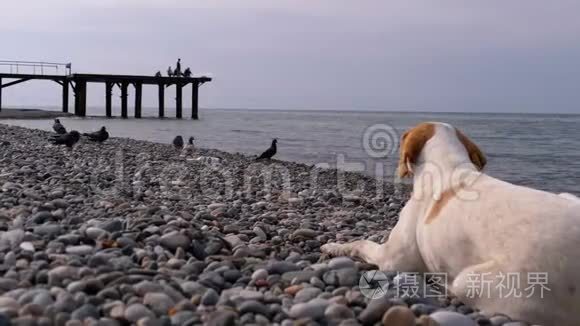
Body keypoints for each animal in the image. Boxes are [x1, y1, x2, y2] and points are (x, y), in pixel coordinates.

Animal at [322, 121, 580, 324]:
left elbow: (360, 243)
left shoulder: (393, 259)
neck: (448, 166)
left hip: (476, 281)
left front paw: (334, 246)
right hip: (568, 196)